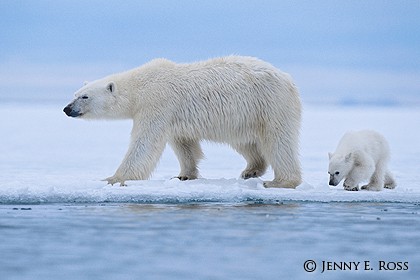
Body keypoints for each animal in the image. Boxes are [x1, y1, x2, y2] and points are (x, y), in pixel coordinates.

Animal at [63, 56, 302, 188]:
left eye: (85, 97)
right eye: (75, 94)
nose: (67, 109)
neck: (140, 87)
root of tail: (288, 79)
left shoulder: (157, 104)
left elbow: (144, 144)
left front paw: (113, 178)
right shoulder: (173, 117)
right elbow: (184, 144)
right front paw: (184, 175)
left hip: (269, 104)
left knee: (278, 142)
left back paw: (280, 181)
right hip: (244, 116)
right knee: (245, 142)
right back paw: (251, 170)